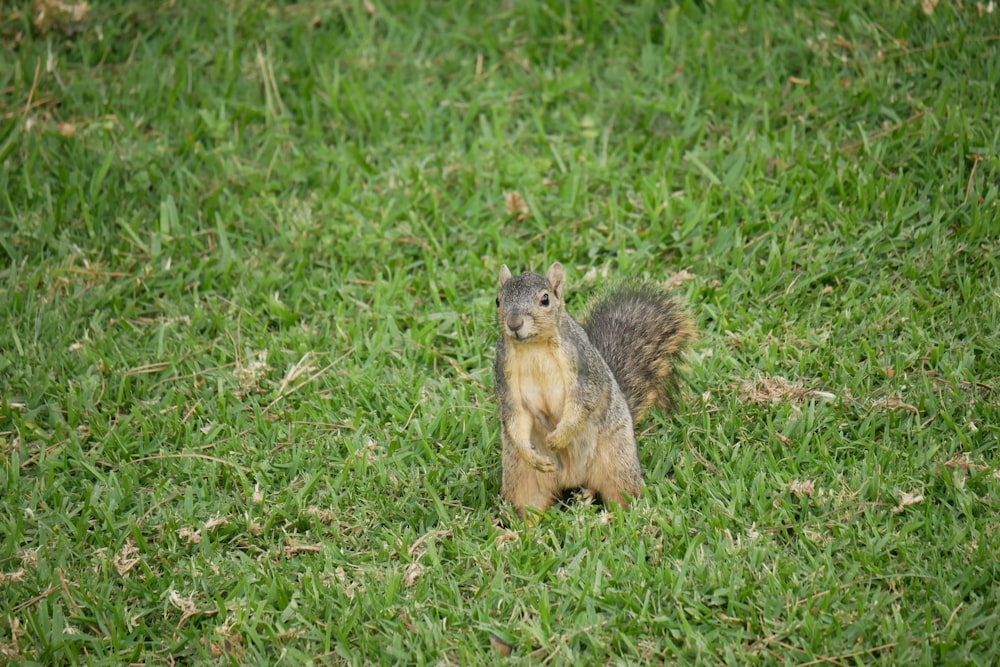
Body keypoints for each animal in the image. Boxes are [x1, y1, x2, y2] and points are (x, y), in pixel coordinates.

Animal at [492, 262, 696, 516]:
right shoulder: (505, 378)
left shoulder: (584, 369)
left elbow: (582, 403)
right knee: (531, 506)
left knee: (620, 496)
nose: (514, 323)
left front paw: (558, 438)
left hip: (617, 461)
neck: (533, 347)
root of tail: (571, 479)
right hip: (522, 477)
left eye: (545, 299)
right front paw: (531, 452)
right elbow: (515, 415)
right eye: (498, 300)